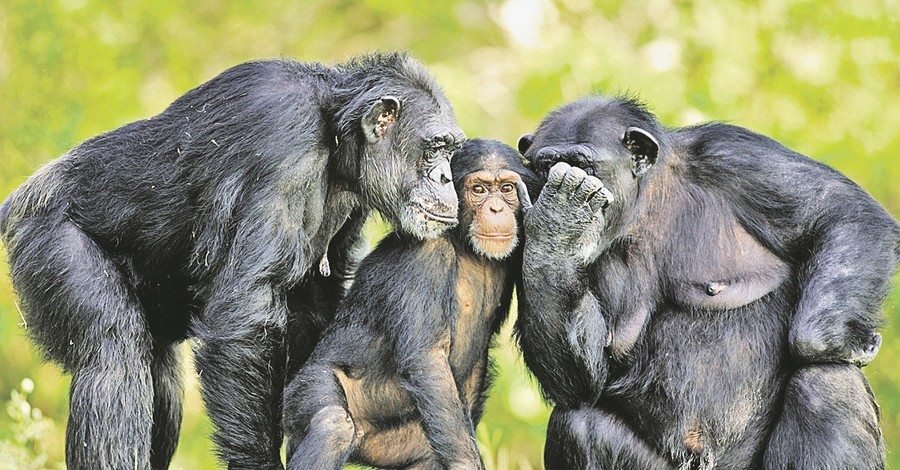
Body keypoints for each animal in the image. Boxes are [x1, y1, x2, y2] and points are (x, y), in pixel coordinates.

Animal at [0, 52, 464, 470]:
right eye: (435, 148)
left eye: (451, 151)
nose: (446, 176)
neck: (336, 138)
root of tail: (16, 202)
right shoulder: (283, 136)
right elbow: (243, 320)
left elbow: (312, 311)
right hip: (48, 239)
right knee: (112, 355)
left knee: (161, 381)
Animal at [284, 139, 536, 470]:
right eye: (479, 190)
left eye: (506, 188)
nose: (496, 208)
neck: (465, 245)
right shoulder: (425, 257)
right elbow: (426, 359)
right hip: (304, 389)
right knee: (331, 426)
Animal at [512, 95, 900, 470]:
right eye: (545, 167)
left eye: (581, 164)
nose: (556, 182)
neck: (647, 202)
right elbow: (584, 381)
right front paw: (558, 226)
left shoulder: (735, 155)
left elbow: (838, 210)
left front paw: (838, 340)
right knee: (580, 426)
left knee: (827, 383)